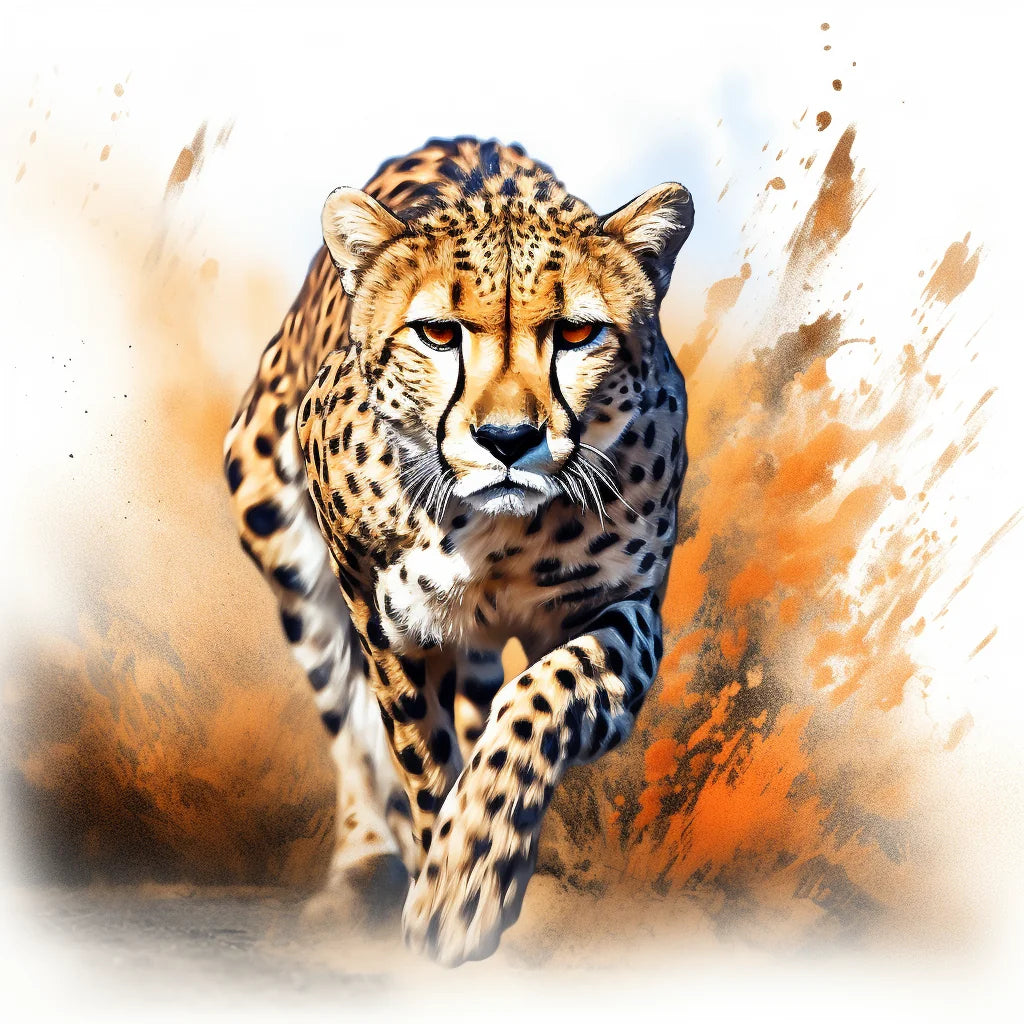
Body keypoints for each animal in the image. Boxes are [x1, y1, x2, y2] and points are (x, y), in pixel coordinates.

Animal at [224, 136, 693, 965]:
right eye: (438, 333)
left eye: (578, 333)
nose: (507, 440)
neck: (502, 535)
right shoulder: (385, 615)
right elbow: (417, 748)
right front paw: (440, 871)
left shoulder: (626, 606)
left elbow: (541, 697)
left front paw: (468, 873)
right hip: (281, 540)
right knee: (346, 722)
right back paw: (362, 868)